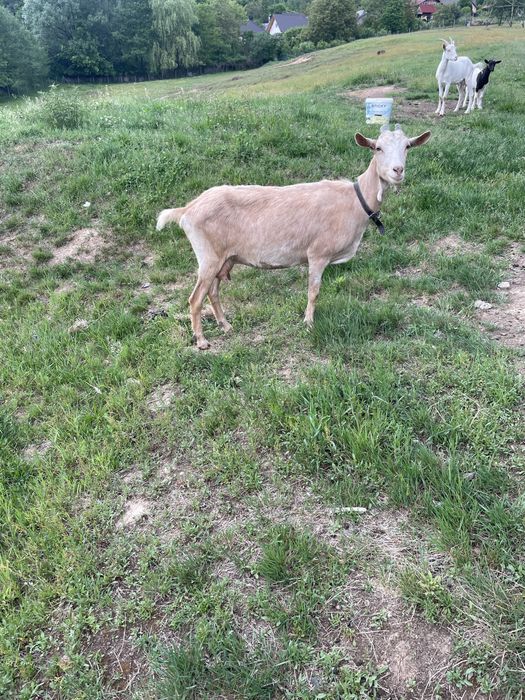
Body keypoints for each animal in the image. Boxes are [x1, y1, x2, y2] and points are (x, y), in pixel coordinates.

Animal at [156, 125, 431, 349]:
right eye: (377, 148)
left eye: (407, 146)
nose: (398, 170)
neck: (355, 200)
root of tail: (187, 209)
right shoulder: (318, 253)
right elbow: (313, 291)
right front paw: (308, 323)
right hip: (208, 257)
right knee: (195, 299)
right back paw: (201, 341)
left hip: (223, 257)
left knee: (212, 293)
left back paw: (226, 326)